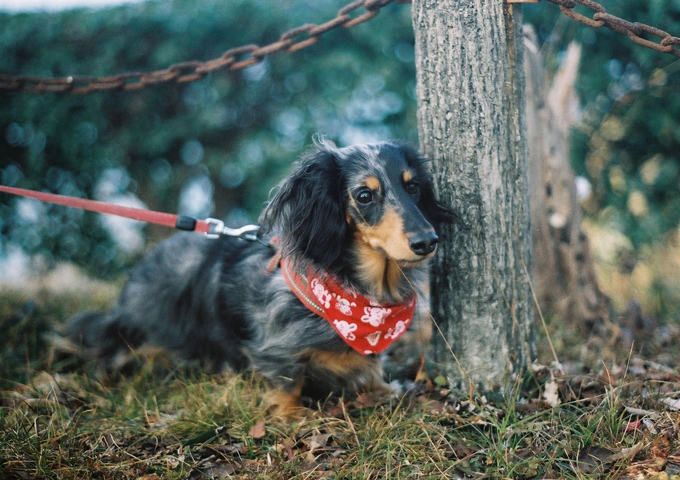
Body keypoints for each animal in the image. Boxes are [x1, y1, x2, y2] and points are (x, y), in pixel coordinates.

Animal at [66, 141, 454, 418]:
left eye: (413, 188)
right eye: (364, 195)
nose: (427, 241)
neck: (356, 297)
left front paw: (383, 388)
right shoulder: (275, 351)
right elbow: (286, 379)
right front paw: (291, 414)